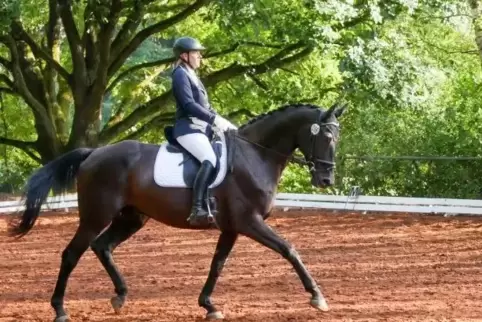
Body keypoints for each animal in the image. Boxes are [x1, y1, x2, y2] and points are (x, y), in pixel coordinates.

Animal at [9, 102, 344, 320]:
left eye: (336, 138)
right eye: (326, 137)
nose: (326, 179)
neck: (255, 155)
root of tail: (94, 153)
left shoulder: (232, 227)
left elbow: (217, 264)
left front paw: (209, 305)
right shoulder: (250, 222)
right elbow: (289, 249)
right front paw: (317, 297)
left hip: (132, 217)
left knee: (102, 246)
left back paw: (120, 296)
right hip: (95, 216)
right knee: (72, 253)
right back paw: (60, 309)